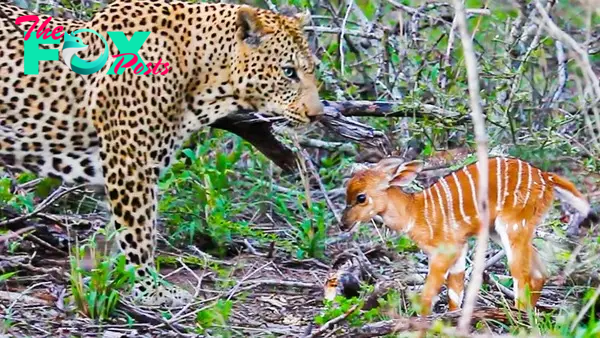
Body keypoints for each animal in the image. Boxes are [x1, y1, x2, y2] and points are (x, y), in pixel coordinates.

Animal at [0, 0, 324, 306]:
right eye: (288, 72)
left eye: (312, 70)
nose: (317, 115)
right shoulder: (130, 161)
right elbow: (140, 232)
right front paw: (151, 290)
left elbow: (116, 235)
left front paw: (102, 275)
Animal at [340, 156, 596, 314]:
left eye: (361, 197)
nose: (343, 224)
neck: (415, 211)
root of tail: (547, 178)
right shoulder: (460, 247)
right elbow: (455, 292)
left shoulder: (445, 250)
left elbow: (428, 294)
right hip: (501, 230)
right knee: (539, 272)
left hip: (512, 225)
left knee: (521, 275)